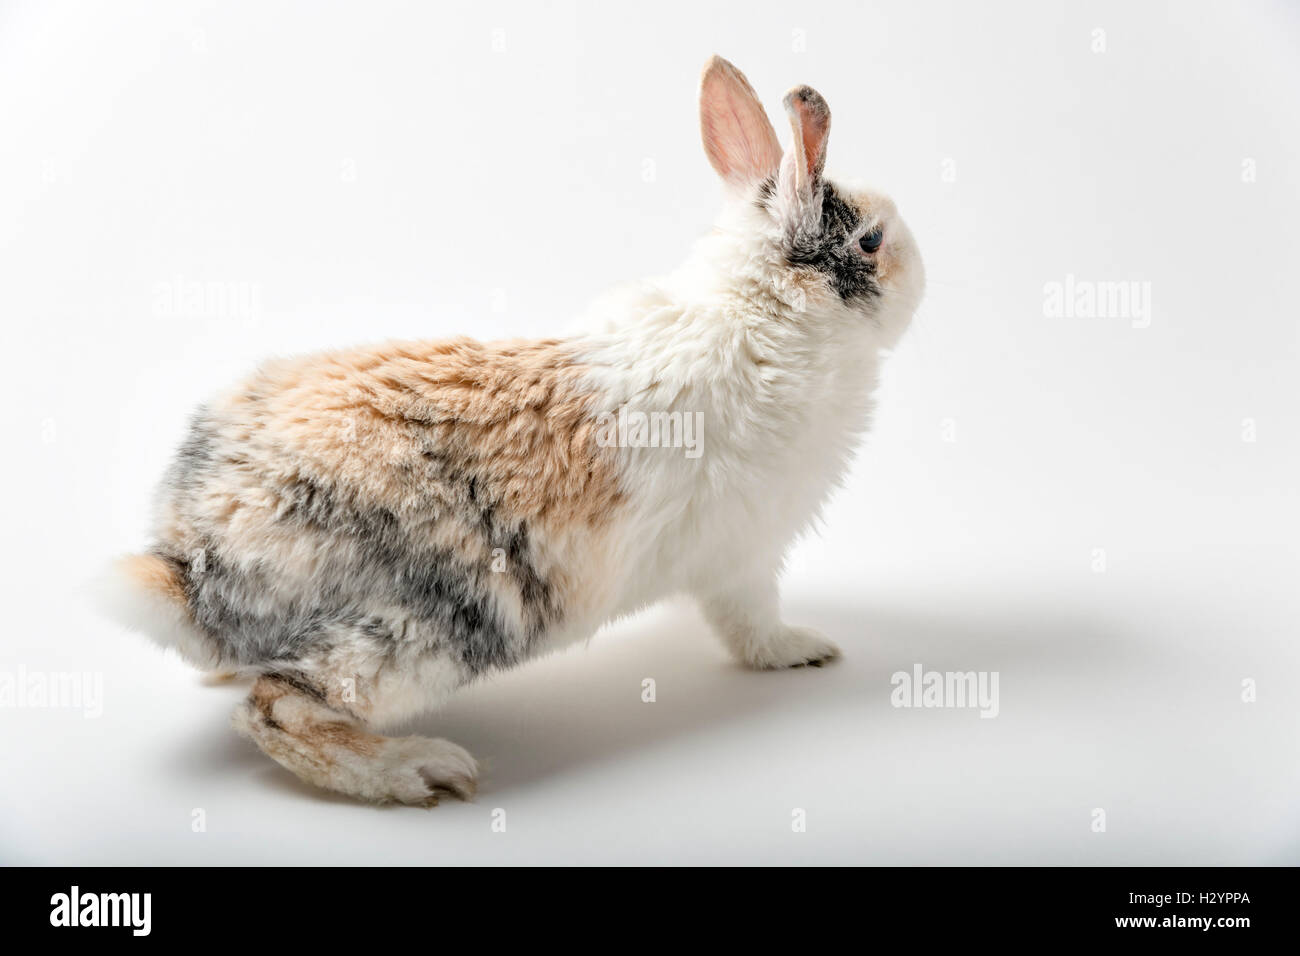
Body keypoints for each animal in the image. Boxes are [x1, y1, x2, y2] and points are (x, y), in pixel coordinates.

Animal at [103, 55, 925, 806]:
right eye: (872, 241)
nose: (923, 275)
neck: (765, 312)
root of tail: (189, 557)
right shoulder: (742, 557)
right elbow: (751, 625)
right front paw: (805, 651)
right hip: (429, 628)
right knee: (277, 708)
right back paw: (419, 771)